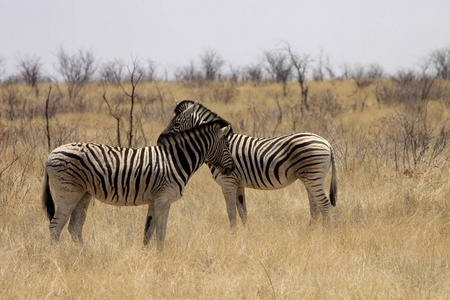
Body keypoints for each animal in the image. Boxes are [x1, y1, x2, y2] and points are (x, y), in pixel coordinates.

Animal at [42, 120, 236, 250]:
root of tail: (51, 153)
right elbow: (161, 232)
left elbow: (148, 232)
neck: (175, 160)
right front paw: (161, 257)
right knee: (55, 227)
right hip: (68, 193)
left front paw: (147, 255)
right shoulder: (164, 199)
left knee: (74, 227)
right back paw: (56, 257)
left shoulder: (154, 201)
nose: (232, 168)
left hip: (84, 194)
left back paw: (83, 254)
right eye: (227, 144)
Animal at [161, 101, 338, 227]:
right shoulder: (238, 184)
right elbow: (242, 212)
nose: (160, 140)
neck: (218, 145)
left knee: (324, 205)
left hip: (312, 175)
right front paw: (245, 235)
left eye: (176, 124)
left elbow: (231, 213)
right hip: (312, 177)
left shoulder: (228, 182)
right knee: (315, 207)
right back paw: (310, 233)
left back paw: (324, 234)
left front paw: (233, 236)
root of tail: (327, 143)